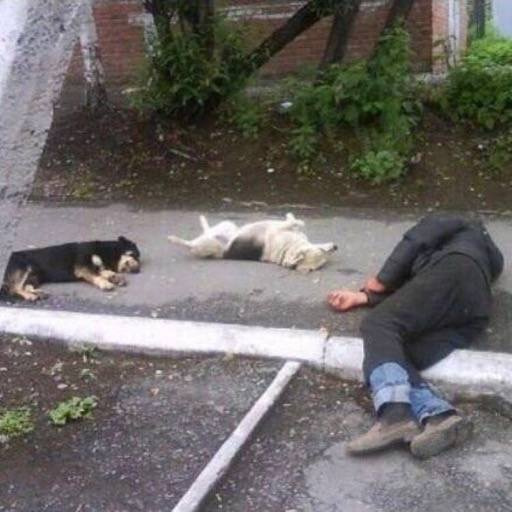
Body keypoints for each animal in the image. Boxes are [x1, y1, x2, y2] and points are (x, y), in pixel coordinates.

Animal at [0, 236, 141, 301]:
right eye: (135, 255)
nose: (138, 270)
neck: (104, 251)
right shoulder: (82, 267)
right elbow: (97, 276)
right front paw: (106, 284)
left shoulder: (96, 267)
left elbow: (104, 272)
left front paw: (115, 277)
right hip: (24, 268)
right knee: (14, 288)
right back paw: (30, 296)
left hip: (35, 277)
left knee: (25, 286)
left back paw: (39, 293)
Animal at [168, 213, 337, 272]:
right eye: (322, 252)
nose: (336, 247)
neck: (287, 250)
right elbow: (293, 221)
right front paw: (296, 220)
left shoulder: (278, 229)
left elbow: (291, 221)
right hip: (227, 225)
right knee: (207, 230)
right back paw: (202, 220)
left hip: (208, 243)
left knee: (191, 244)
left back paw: (174, 239)